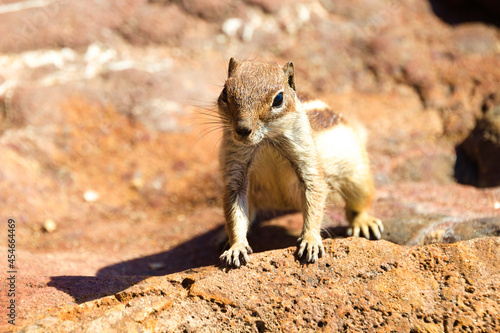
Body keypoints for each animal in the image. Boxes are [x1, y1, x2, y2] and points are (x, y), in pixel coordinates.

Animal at [216, 58, 382, 268]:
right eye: (224, 92)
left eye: (278, 99)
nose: (242, 129)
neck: (267, 141)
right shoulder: (235, 168)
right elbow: (234, 210)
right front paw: (236, 247)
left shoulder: (307, 160)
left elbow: (315, 196)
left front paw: (310, 241)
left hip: (357, 175)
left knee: (358, 205)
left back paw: (365, 223)